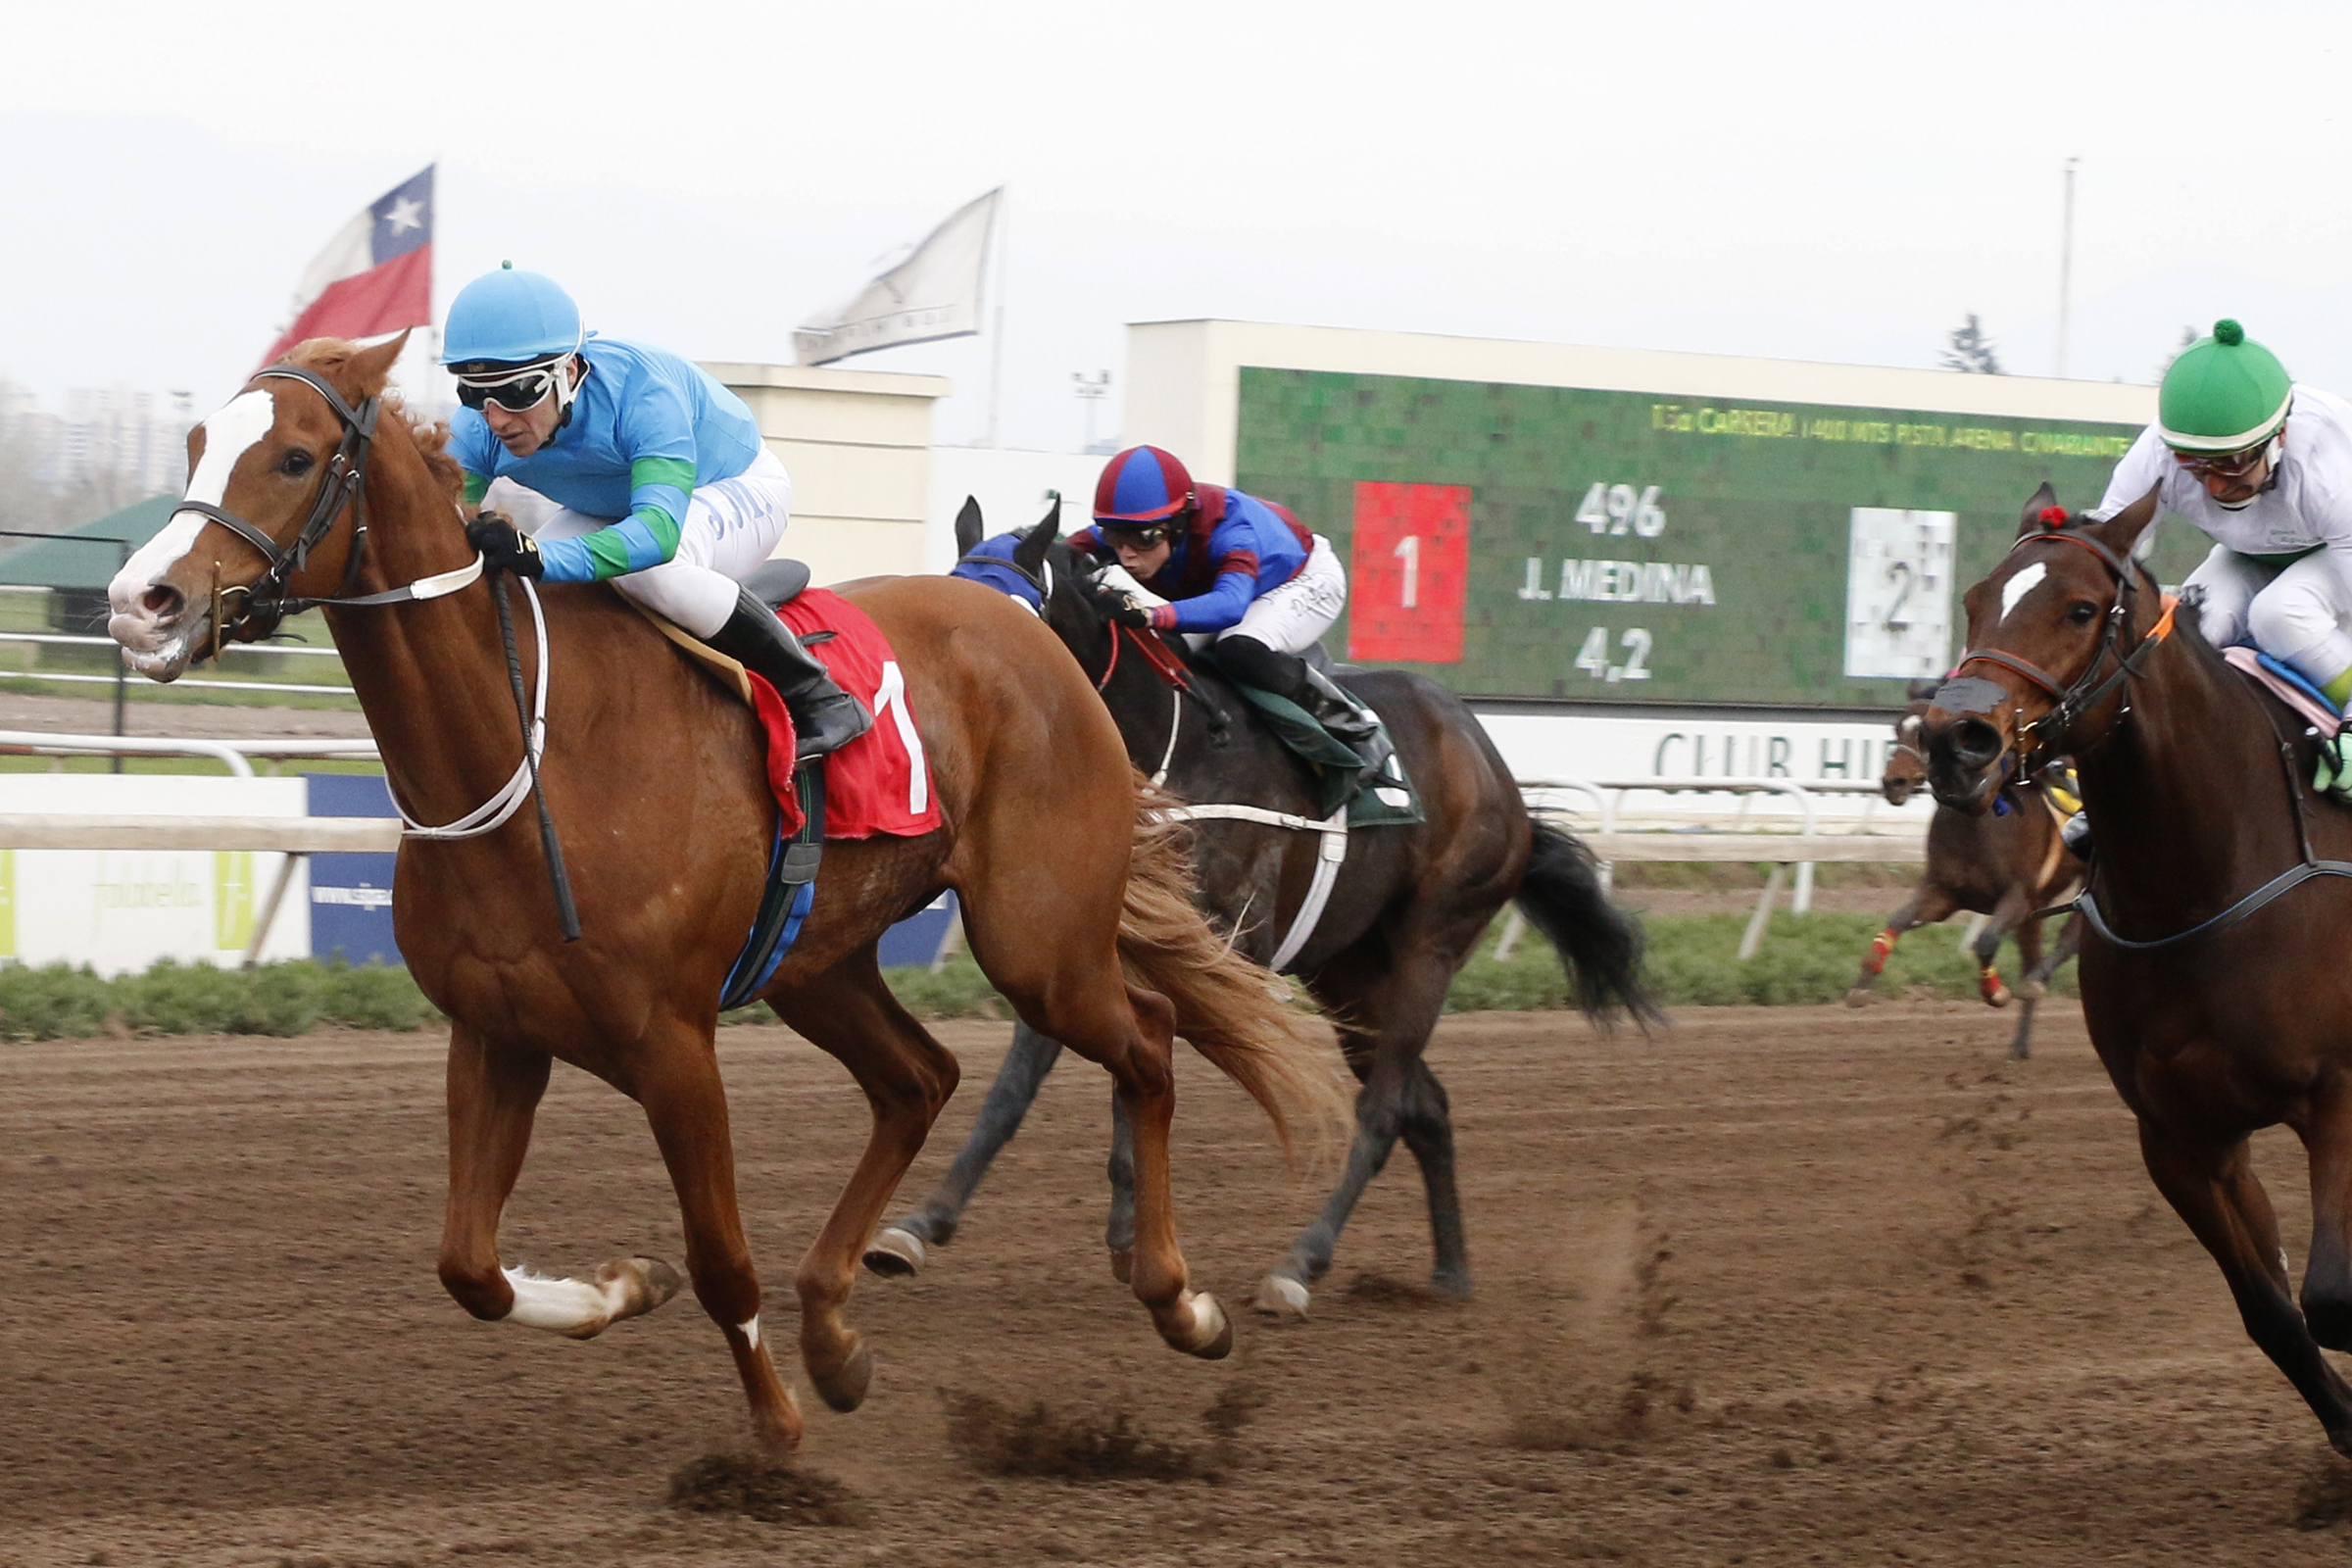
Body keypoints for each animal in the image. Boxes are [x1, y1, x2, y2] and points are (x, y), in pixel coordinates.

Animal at [101, 335, 1344, 1453]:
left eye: (296, 457)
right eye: (200, 442)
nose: (140, 600)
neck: (527, 746)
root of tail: (1036, 636)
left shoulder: (671, 1043)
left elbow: (719, 1257)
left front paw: (775, 1432)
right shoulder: (497, 1030)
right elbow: (470, 1267)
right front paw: (624, 1288)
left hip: (1039, 941)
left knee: (1149, 1038)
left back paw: (1182, 1301)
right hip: (819, 960)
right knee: (921, 1079)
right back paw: (835, 1329)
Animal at [860, 501, 1657, 1317]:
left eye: (1013, 614)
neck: (1166, 747)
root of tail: (1495, 770)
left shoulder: (1223, 943)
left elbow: (1135, 1068)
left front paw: (1134, 1238)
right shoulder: (1083, 941)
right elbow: (1022, 1087)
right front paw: (920, 1227)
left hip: (1431, 946)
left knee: (1384, 1110)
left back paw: (1298, 1266)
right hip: (1351, 974)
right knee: (1426, 1105)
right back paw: (1450, 1273)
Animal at [1848, 684, 2085, 1057]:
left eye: (1925, 736)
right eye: (1896, 729)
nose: (1894, 782)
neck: (1975, 821)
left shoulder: (2019, 895)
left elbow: (1985, 942)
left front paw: (1996, 992)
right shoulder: (1946, 893)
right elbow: (1897, 920)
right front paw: (1861, 986)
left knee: (2067, 939)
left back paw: (2036, 984)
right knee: (2033, 957)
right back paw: (2020, 1044)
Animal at [1918, 481, 2352, 1457]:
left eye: (2081, 609)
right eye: (1974, 599)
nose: (1956, 740)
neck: (2205, 883)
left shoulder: (2341, 1095)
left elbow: (2334, 1295)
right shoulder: (2181, 1138)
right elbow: (2276, 1314)